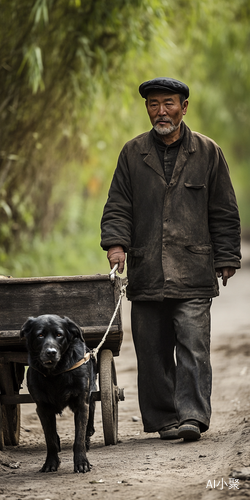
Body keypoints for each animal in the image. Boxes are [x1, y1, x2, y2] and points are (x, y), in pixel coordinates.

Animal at [20, 314, 96, 474]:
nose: (51, 352)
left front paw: (82, 462)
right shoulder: (42, 409)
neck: (55, 373)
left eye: (59, 335)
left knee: (91, 411)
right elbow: (50, 439)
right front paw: (51, 463)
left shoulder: (81, 404)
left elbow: (79, 438)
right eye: (40, 335)